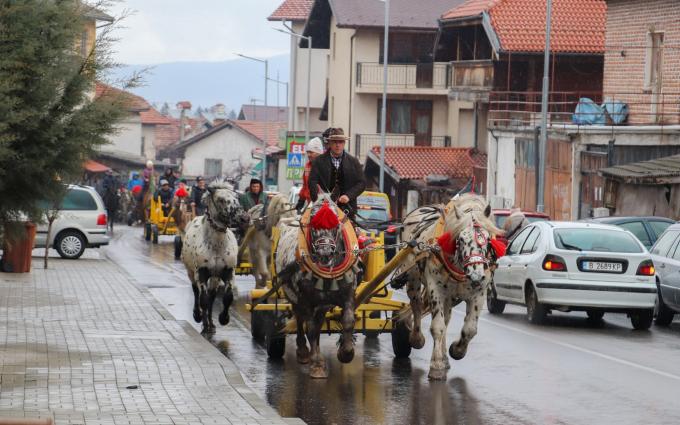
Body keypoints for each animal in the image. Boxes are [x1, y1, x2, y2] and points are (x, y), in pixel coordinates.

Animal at [181, 179, 247, 334]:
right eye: (221, 200)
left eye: (237, 198)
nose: (244, 218)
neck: (217, 245)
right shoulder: (202, 273)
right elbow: (203, 299)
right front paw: (203, 322)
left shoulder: (228, 272)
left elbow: (227, 297)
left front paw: (223, 319)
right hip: (191, 272)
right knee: (196, 291)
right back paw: (200, 317)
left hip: (215, 277)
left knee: (212, 296)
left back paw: (211, 323)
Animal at [398, 194, 504, 380]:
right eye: (461, 239)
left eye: (487, 239)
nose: (476, 276)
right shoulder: (436, 290)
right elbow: (437, 326)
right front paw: (436, 366)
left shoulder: (479, 293)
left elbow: (469, 329)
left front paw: (456, 351)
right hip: (413, 279)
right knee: (416, 306)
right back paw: (417, 339)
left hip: (451, 297)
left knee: (446, 319)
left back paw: (445, 357)